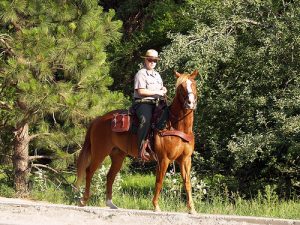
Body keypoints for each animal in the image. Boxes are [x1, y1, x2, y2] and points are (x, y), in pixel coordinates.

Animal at [75, 69, 198, 214]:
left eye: (194, 84)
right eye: (181, 87)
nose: (190, 103)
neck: (174, 124)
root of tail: (98, 119)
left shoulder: (185, 159)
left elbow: (187, 183)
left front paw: (192, 209)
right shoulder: (164, 159)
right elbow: (159, 181)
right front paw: (156, 206)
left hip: (117, 155)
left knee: (110, 176)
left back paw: (110, 203)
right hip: (100, 152)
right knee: (89, 171)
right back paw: (83, 200)